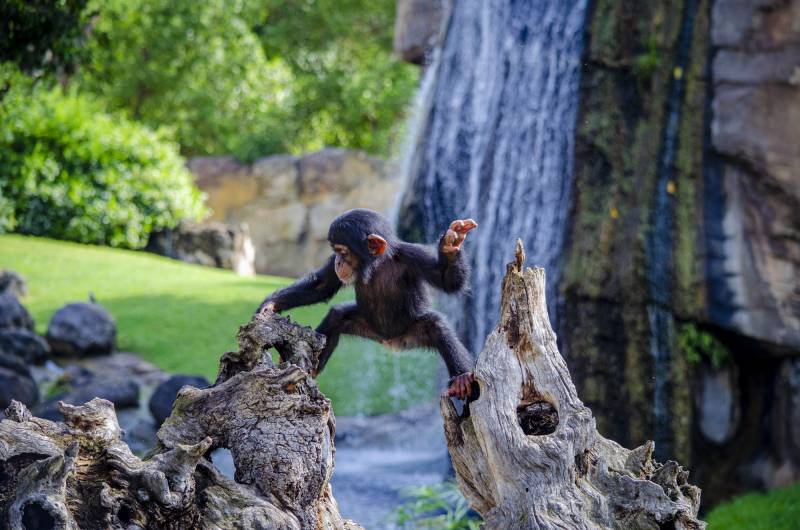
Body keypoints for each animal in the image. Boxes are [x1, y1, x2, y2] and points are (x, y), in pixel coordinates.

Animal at [260, 208, 478, 398]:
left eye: (343, 251)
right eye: (335, 252)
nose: (338, 261)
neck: (377, 264)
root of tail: (391, 342)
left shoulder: (414, 256)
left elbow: (447, 281)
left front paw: (451, 244)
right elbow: (320, 286)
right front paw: (271, 305)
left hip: (412, 332)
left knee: (436, 326)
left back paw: (461, 378)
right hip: (366, 326)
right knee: (337, 316)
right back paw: (311, 367)